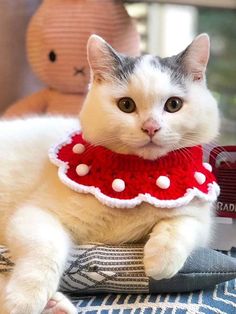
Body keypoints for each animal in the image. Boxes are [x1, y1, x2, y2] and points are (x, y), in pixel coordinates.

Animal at [0, 34, 219, 314]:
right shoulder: (35, 213)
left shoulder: (201, 219)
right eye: (126, 105)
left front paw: (160, 260)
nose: (151, 127)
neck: (137, 175)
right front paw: (24, 298)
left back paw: (55, 305)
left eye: (173, 105)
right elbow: (45, 249)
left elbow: (183, 225)